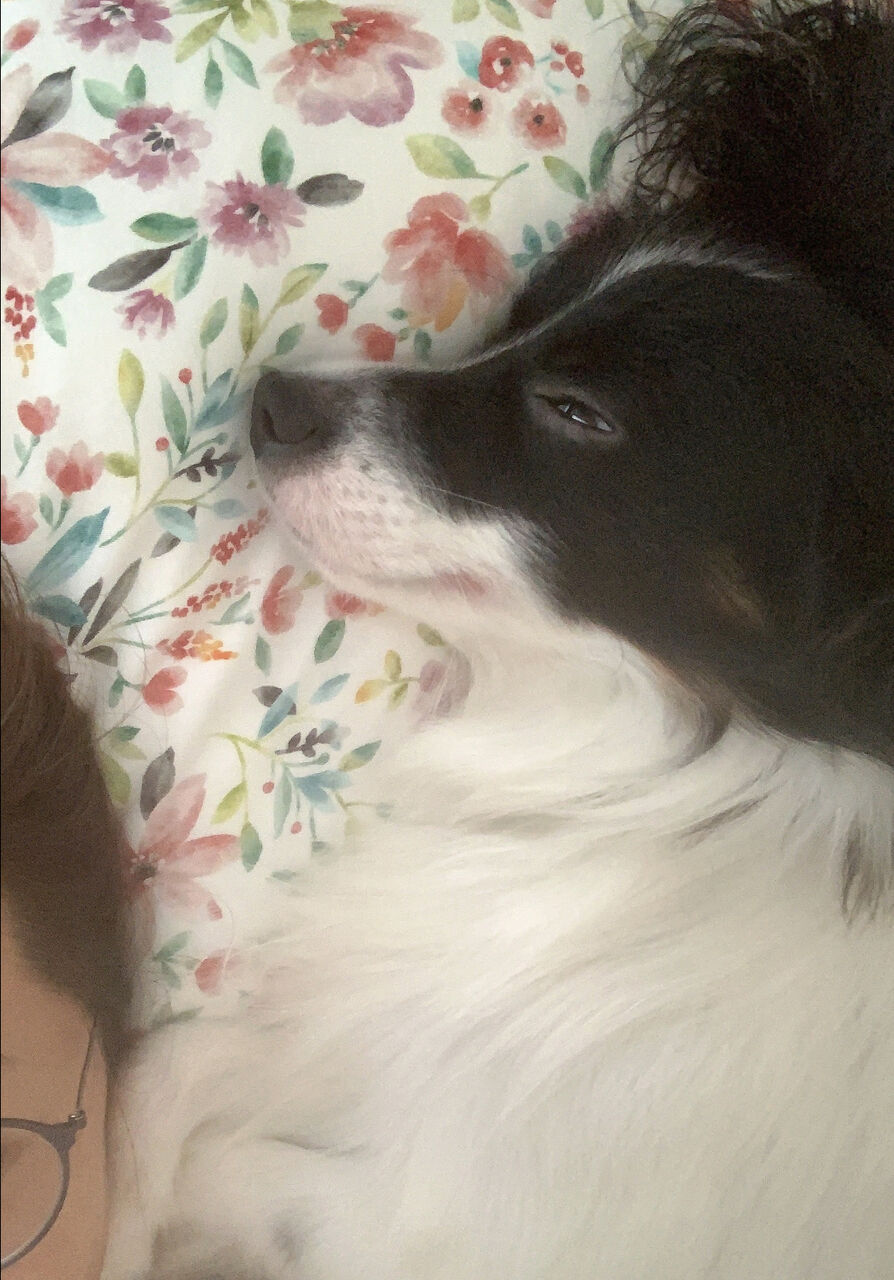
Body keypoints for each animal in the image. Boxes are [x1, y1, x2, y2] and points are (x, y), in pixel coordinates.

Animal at [105, 4, 894, 1278]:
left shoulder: (434, 1218)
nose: (270, 400)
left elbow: (222, 1148)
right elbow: (163, 1069)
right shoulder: (351, 1046)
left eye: (577, 412)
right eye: (517, 327)